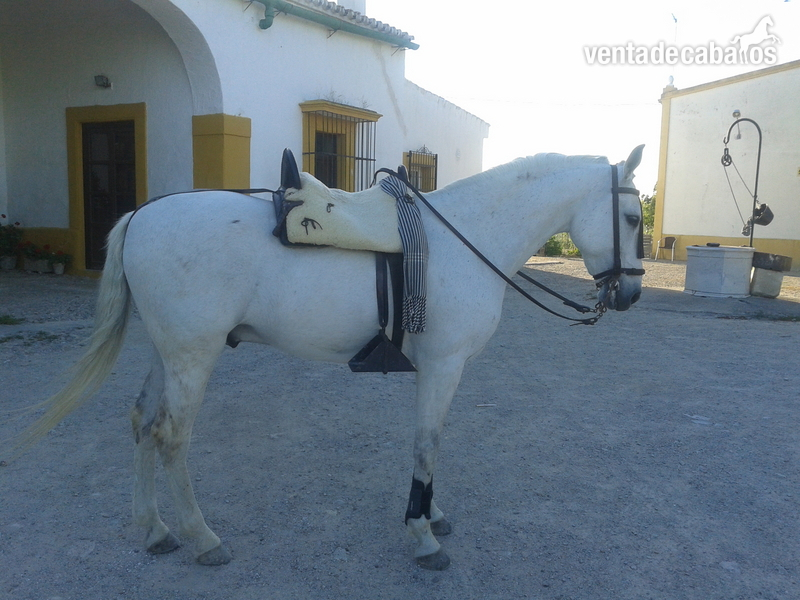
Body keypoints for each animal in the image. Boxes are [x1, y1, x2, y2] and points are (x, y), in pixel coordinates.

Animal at [7, 144, 645, 571]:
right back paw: (202, 538)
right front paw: (422, 535)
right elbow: (428, 443)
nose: (632, 294)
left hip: (168, 352)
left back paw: (154, 530)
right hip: (193, 356)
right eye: (634, 217)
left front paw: (433, 515)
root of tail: (142, 215)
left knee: (142, 423)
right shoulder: (444, 365)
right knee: (170, 437)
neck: (466, 238)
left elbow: (430, 444)